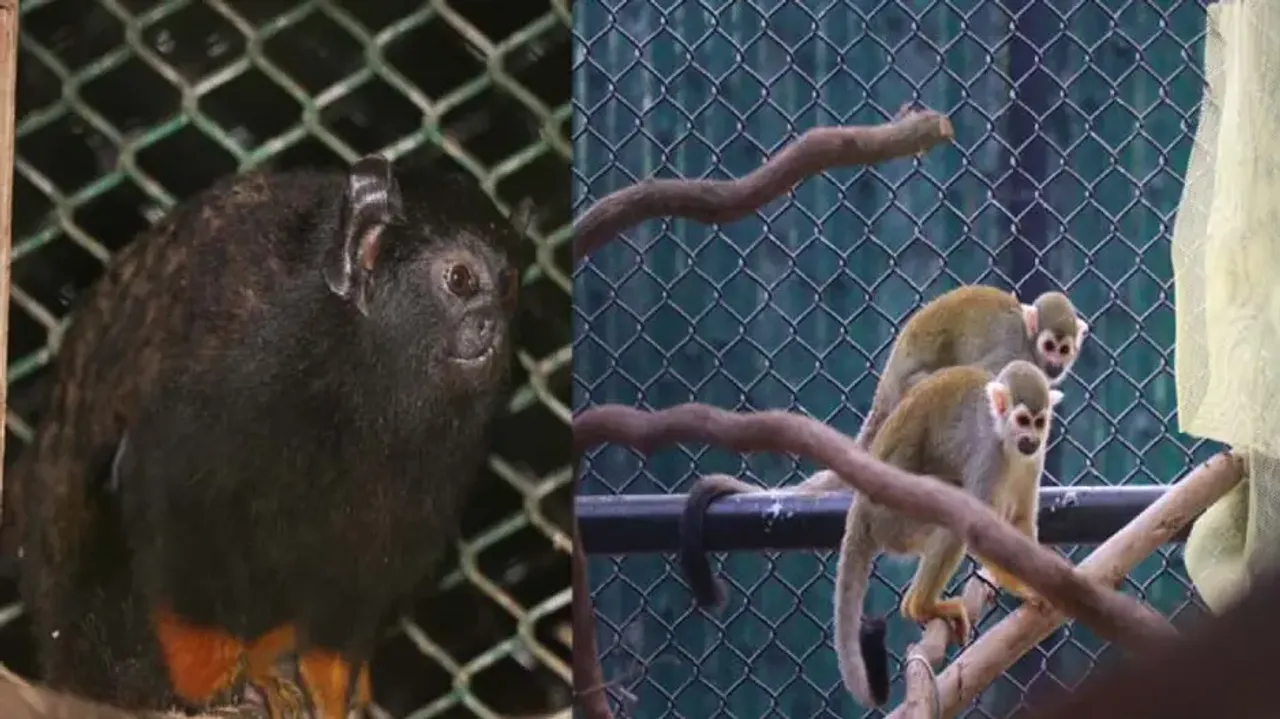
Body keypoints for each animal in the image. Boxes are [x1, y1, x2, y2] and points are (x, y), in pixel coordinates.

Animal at [17, 155, 526, 719]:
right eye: (460, 279)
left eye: (507, 286)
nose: (490, 325)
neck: (357, 367)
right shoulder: (233, 359)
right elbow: (176, 507)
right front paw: (209, 676)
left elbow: (364, 568)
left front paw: (329, 685)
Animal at [677, 285, 1087, 607]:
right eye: (1050, 345)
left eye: (1064, 349)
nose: (1055, 363)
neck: (1029, 339)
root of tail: (886, 395)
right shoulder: (1010, 351)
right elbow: (990, 381)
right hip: (912, 395)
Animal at [835, 359, 1062, 707]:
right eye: (1023, 420)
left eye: (1040, 422)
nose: (1031, 437)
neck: (1005, 438)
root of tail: (859, 509)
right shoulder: (988, 455)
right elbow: (978, 530)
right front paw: (1024, 587)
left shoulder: (1033, 459)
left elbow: (1022, 520)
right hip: (893, 518)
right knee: (952, 516)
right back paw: (921, 606)